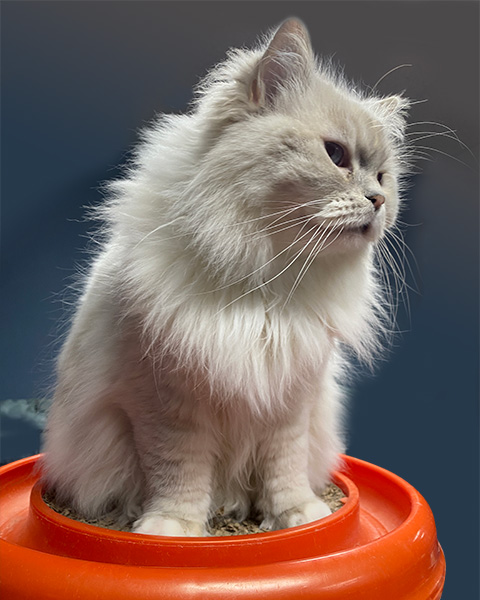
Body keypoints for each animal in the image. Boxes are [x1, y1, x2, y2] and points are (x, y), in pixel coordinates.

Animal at [40, 17, 408, 536]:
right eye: (335, 155)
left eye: (383, 177)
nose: (378, 202)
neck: (267, 279)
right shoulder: (166, 408)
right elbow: (179, 475)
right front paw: (172, 530)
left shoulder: (290, 400)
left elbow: (285, 471)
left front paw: (299, 519)